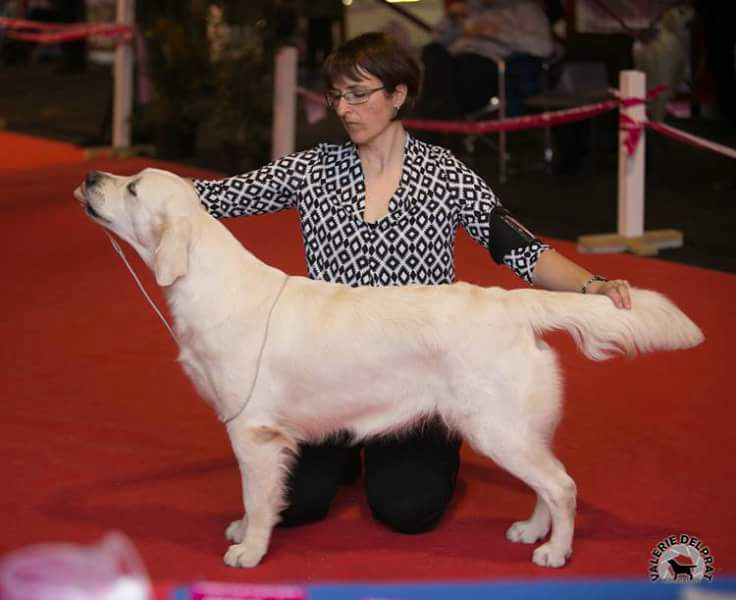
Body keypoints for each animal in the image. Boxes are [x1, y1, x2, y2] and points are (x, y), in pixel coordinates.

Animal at [75, 168, 708, 568]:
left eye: (133, 188)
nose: (90, 178)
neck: (209, 283)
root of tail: (510, 301)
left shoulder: (253, 432)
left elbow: (256, 497)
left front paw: (249, 550)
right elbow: (259, 498)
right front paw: (243, 531)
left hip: (495, 427)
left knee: (563, 486)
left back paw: (555, 552)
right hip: (516, 429)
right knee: (548, 484)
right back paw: (533, 530)